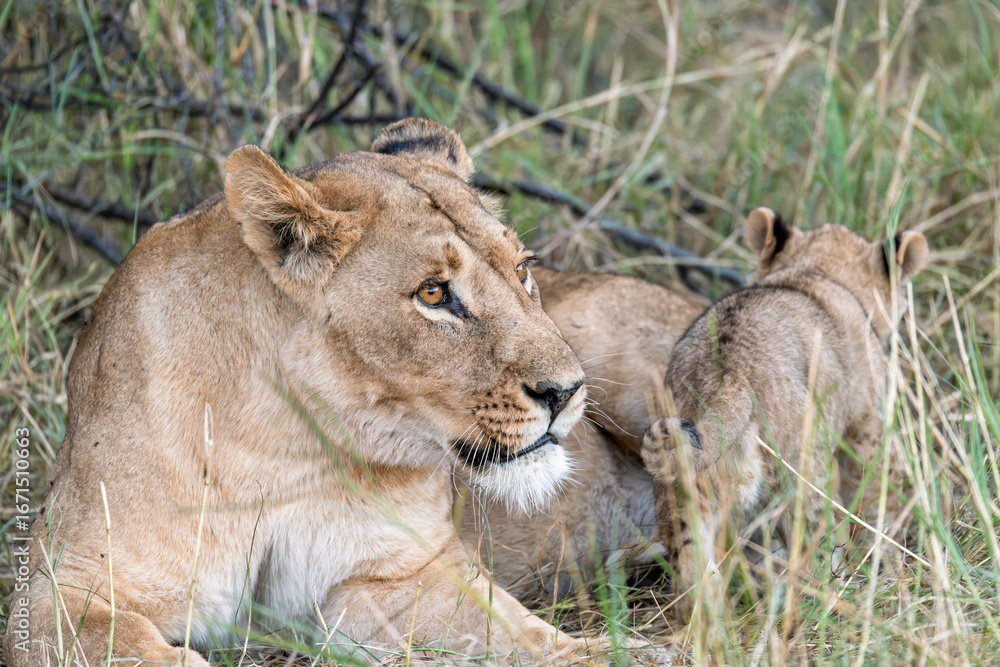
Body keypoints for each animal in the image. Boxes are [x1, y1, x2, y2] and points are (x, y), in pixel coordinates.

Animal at [5, 119, 609, 666]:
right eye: (434, 293)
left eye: (522, 269)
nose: (565, 391)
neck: (287, 438)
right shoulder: (59, 588)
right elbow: (123, 645)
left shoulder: (396, 572)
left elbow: (525, 638)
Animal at [639, 207, 929, 599]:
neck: (815, 272)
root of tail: (727, 374)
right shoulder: (867, 430)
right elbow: (880, 508)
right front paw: (893, 577)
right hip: (803, 476)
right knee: (809, 561)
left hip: (684, 492)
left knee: (696, 577)